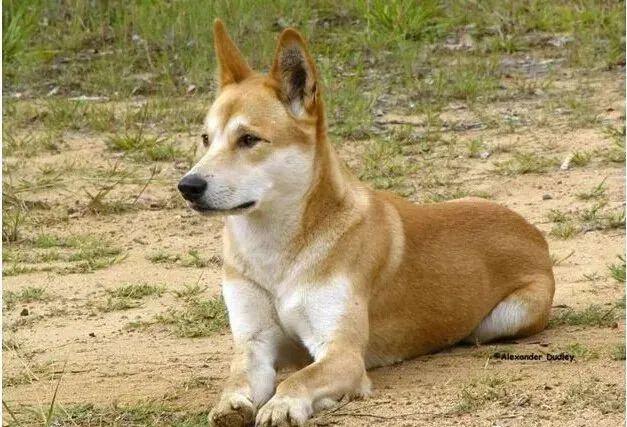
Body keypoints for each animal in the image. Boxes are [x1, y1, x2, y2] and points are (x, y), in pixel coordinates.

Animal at [177, 18, 556, 426]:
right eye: (205, 139)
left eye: (249, 139)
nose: (188, 186)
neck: (276, 252)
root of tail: (535, 235)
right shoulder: (255, 343)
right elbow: (238, 378)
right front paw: (231, 404)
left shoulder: (342, 353)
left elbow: (299, 378)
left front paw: (283, 403)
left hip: (506, 318)